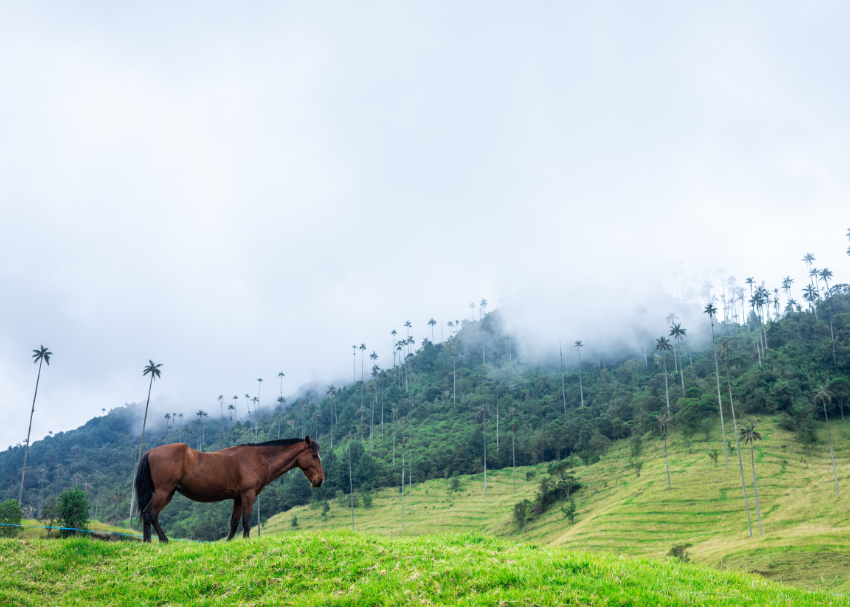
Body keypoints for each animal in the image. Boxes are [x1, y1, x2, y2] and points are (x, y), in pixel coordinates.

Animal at [134, 440, 322, 544]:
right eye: (314, 455)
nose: (320, 480)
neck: (257, 458)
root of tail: (151, 452)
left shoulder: (238, 498)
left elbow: (234, 522)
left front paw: (229, 541)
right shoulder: (248, 495)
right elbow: (247, 521)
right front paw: (245, 541)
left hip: (168, 493)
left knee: (153, 515)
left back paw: (163, 540)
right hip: (164, 491)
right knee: (149, 513)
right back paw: (148, 542)